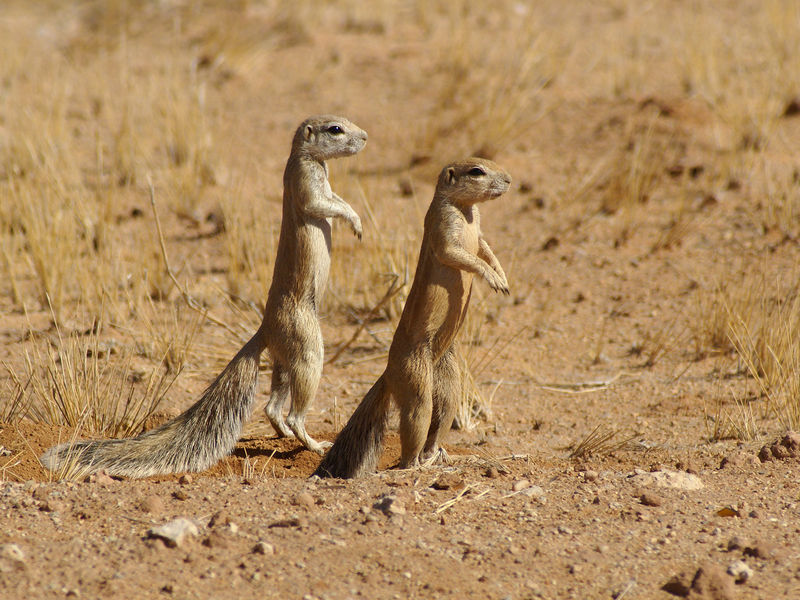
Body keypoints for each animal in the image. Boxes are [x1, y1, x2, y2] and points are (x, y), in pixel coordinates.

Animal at [42, 115, 368, 476]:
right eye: (336, 129)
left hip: (285, 358)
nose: (366, 137)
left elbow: (337, 198)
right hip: (309, 349)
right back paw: (311, 443)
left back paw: (283, 434)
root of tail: (265, 328)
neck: (310, 159)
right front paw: (355, 222)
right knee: (295, 411)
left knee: (271, 407)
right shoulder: (307, 182)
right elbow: (324, 204)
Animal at [316, 156, 510, 478]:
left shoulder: (478, 233)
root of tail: (388, 372)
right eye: (477, 171)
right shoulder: (445, 229)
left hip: (448, 380)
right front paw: (492, 278)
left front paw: (503, 276)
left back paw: (440, 456)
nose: (509, 180)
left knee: (441, 417)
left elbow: (485, 248)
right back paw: (415, 466)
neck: (466, 211)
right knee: (414, 430)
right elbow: (461, 255)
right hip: (417, 384)